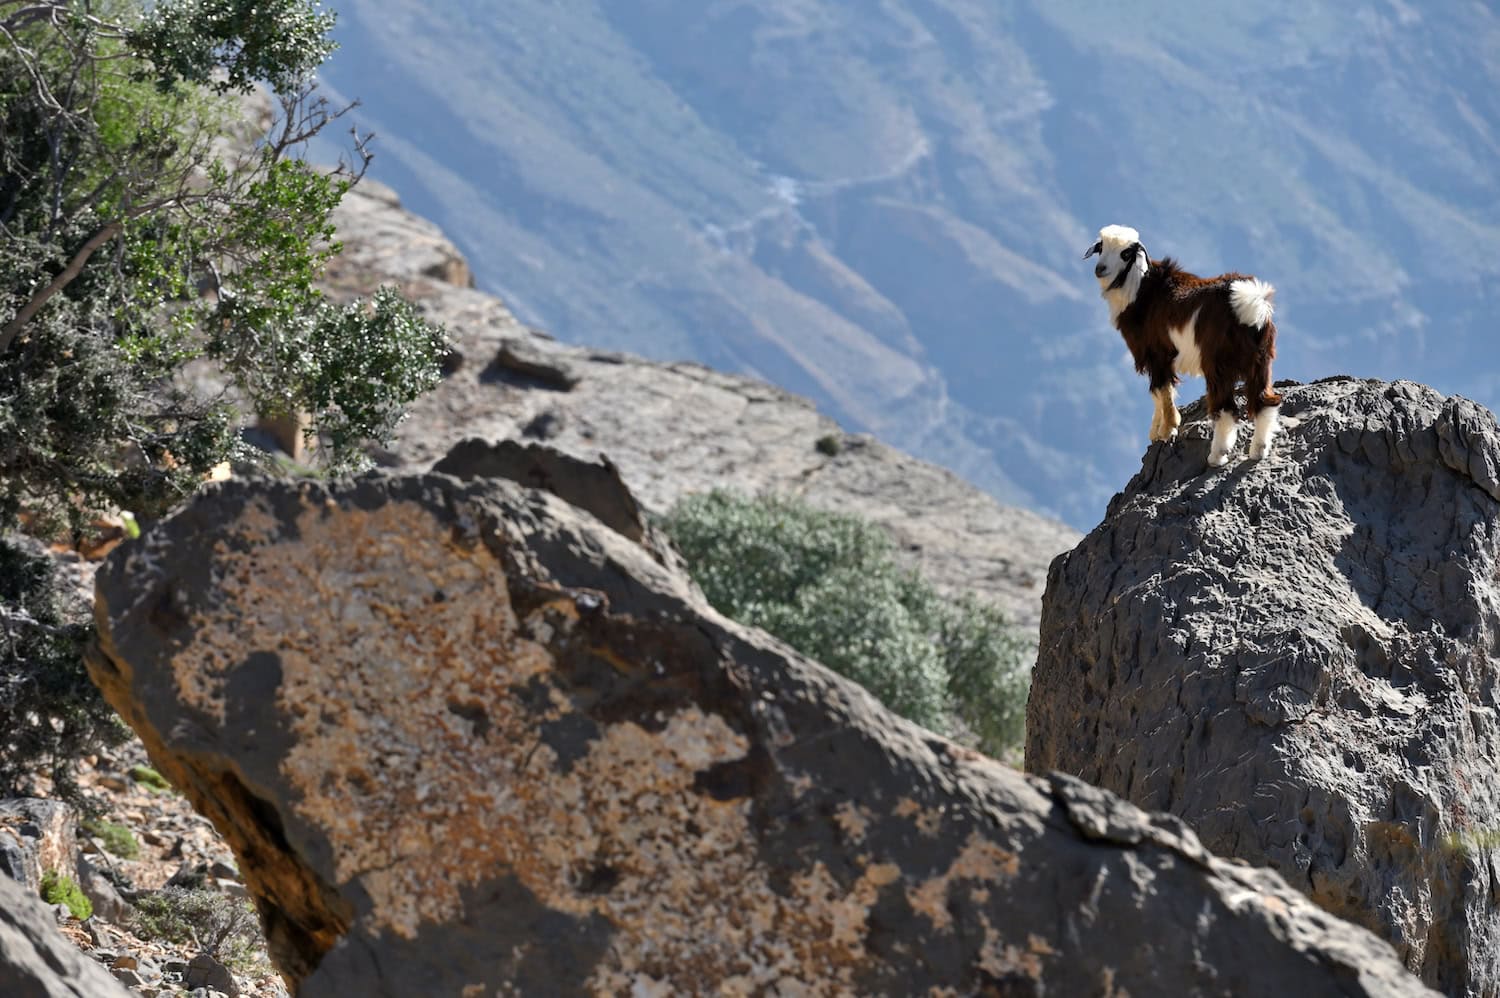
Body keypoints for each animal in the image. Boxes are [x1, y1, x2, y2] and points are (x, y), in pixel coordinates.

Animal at [1084, 225, 1282, 467]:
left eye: (1126, 253)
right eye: (1101, 247)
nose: (1100, 269)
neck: (1140, 289)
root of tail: (1248, 306)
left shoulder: (1157, 353)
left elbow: (1162, 390)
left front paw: (1167, 430)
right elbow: (1157, 392)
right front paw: (1157, 430)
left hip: (1218, 364)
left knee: (1226, 409)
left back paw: (1216, 456)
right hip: (1261, 360)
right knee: (1265, 402)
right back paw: (1258, 451)